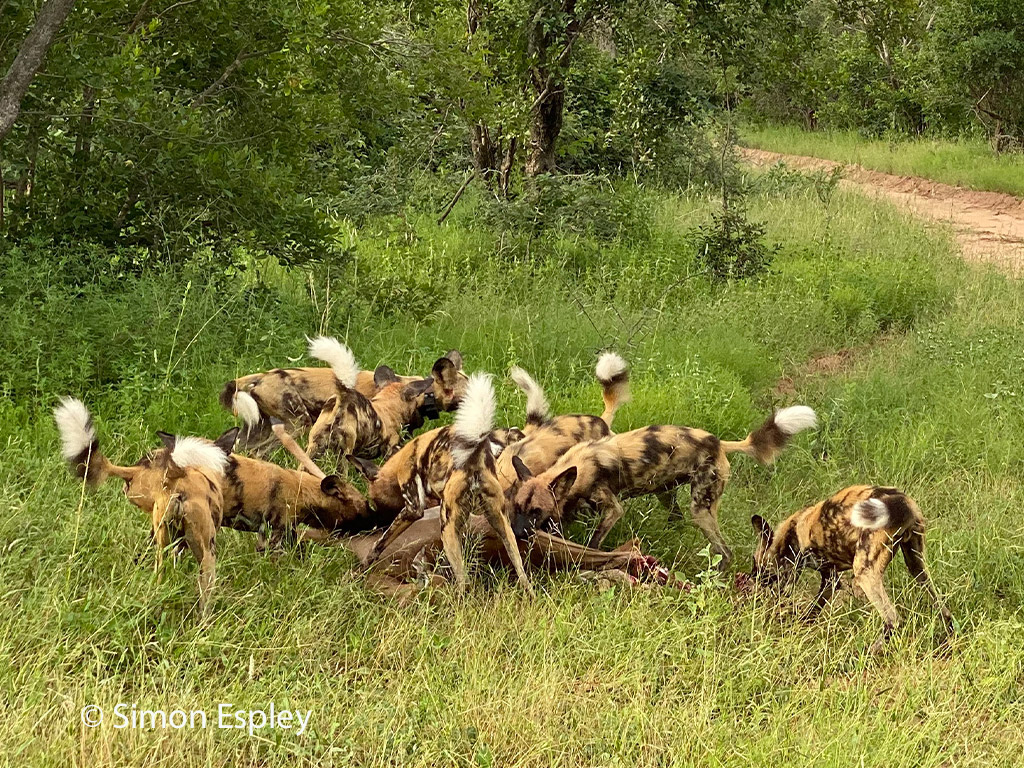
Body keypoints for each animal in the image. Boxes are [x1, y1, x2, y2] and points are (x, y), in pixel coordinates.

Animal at [509, 409, 815, 565]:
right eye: (517, 508)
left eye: (535, 511)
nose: (516, 532)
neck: (576, 467)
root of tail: (719, 443)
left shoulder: (612, 509)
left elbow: (593, 543)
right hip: (665, 494)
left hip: (700, 511)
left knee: (725, 552)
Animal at [749, 483, 954, 651]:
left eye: (756, 564)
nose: (751, 578)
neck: (789, 536)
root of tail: (900, 499)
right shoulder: (831, 580)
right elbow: (813, 610)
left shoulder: (803, 576)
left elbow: (805, 606)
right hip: (916, 566)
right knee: (942, 608)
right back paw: (948, 640)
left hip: (865, 573)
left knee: (893, 620)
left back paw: (866, 654)